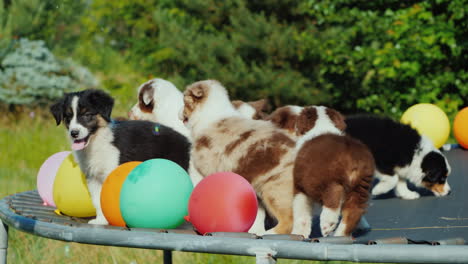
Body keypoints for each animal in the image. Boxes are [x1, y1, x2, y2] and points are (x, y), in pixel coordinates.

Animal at [50, 89, 191, 225]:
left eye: (87, 115)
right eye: (68, 117)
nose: (74, 133)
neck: (96, 142)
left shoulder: (112, 172)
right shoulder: (93, 177)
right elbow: (98, 200)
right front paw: (101, 220)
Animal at [180, 80, 296, 235]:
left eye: (184, 101)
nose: (178, 113)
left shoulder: (201, 170)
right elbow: (257, 213)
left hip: (275, 189)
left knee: (288, 220)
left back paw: (269, 233)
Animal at [268, 105, 374, 237]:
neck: (322, 124)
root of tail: (353, 155)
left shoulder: (299, 185)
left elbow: (300, 211)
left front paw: (298, 233)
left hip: (327, 179)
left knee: (334, 196)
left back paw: (327, 224)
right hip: (361, 185)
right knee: (354, 210)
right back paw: (339, 234)